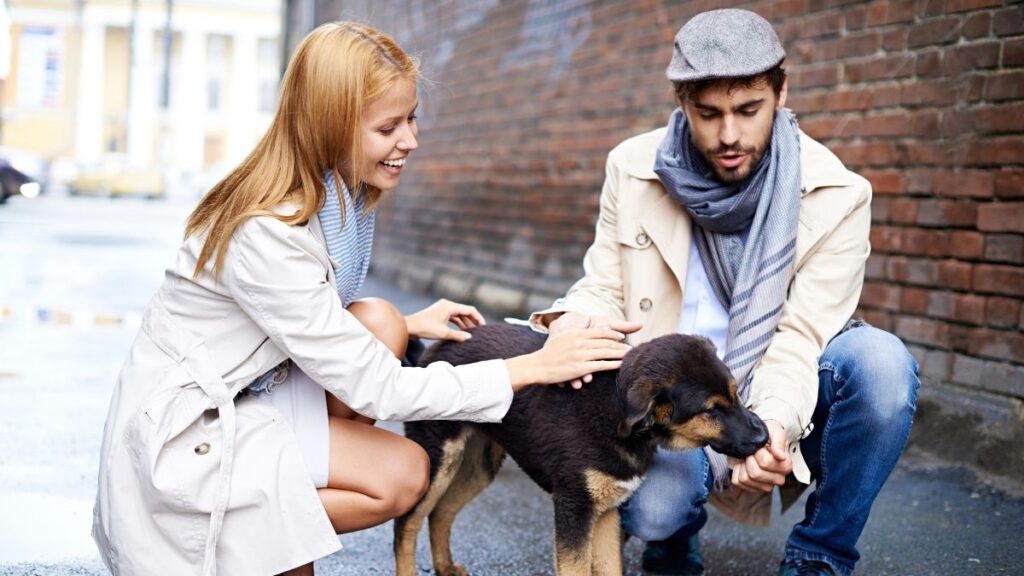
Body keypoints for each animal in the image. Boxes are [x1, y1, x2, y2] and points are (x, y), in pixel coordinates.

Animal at [393, 323, 770, 573]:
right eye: (711, 410)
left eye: (735, 393)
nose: (764, 437)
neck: (617, 409)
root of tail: (433, 351)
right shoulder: (575, 507)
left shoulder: (606, 510)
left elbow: (609, 568)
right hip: (437, 457)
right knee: (406, 525)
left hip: (479, 465)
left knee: (440, 514)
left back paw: (445, 566)